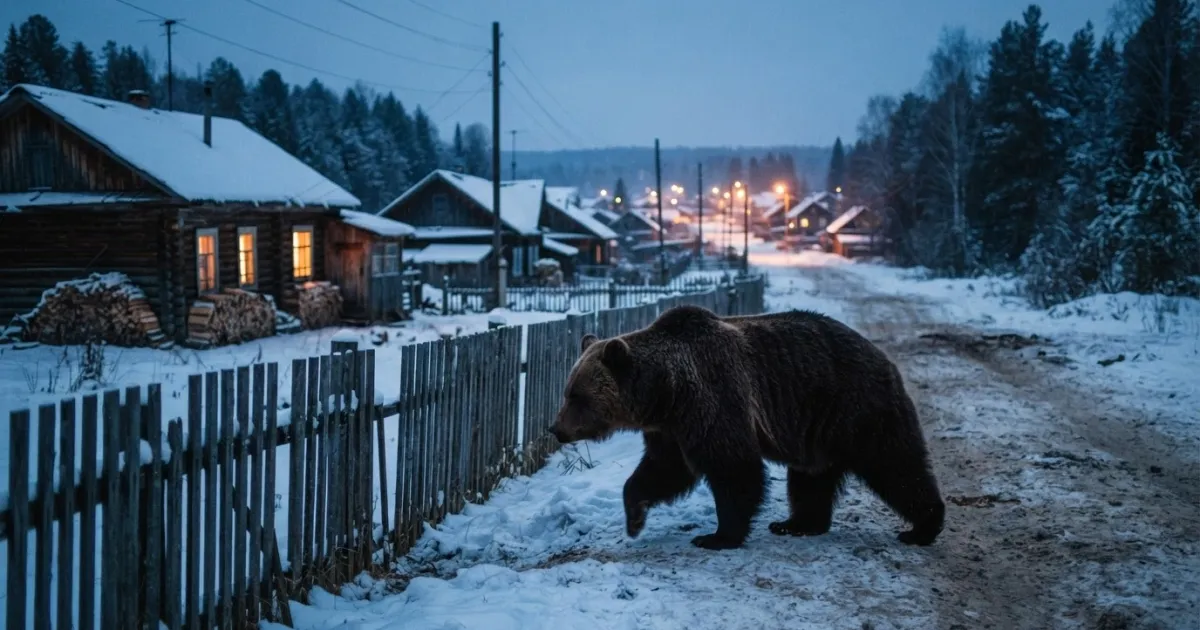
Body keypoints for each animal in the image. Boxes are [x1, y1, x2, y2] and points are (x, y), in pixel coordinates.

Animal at [548, 304, 945, 551]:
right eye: (567, 391)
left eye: (577, 395)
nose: (556, 429)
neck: (665, 391)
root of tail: (883, 356)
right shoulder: (671, 429)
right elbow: (663, 470)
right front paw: (634, 518)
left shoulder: (713, 398)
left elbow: (734, 468)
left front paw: (717, 536)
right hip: (816, 429)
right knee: (811, 478)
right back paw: (796, 523)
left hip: (856, 406)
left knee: (896, 465)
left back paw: (922, 527)